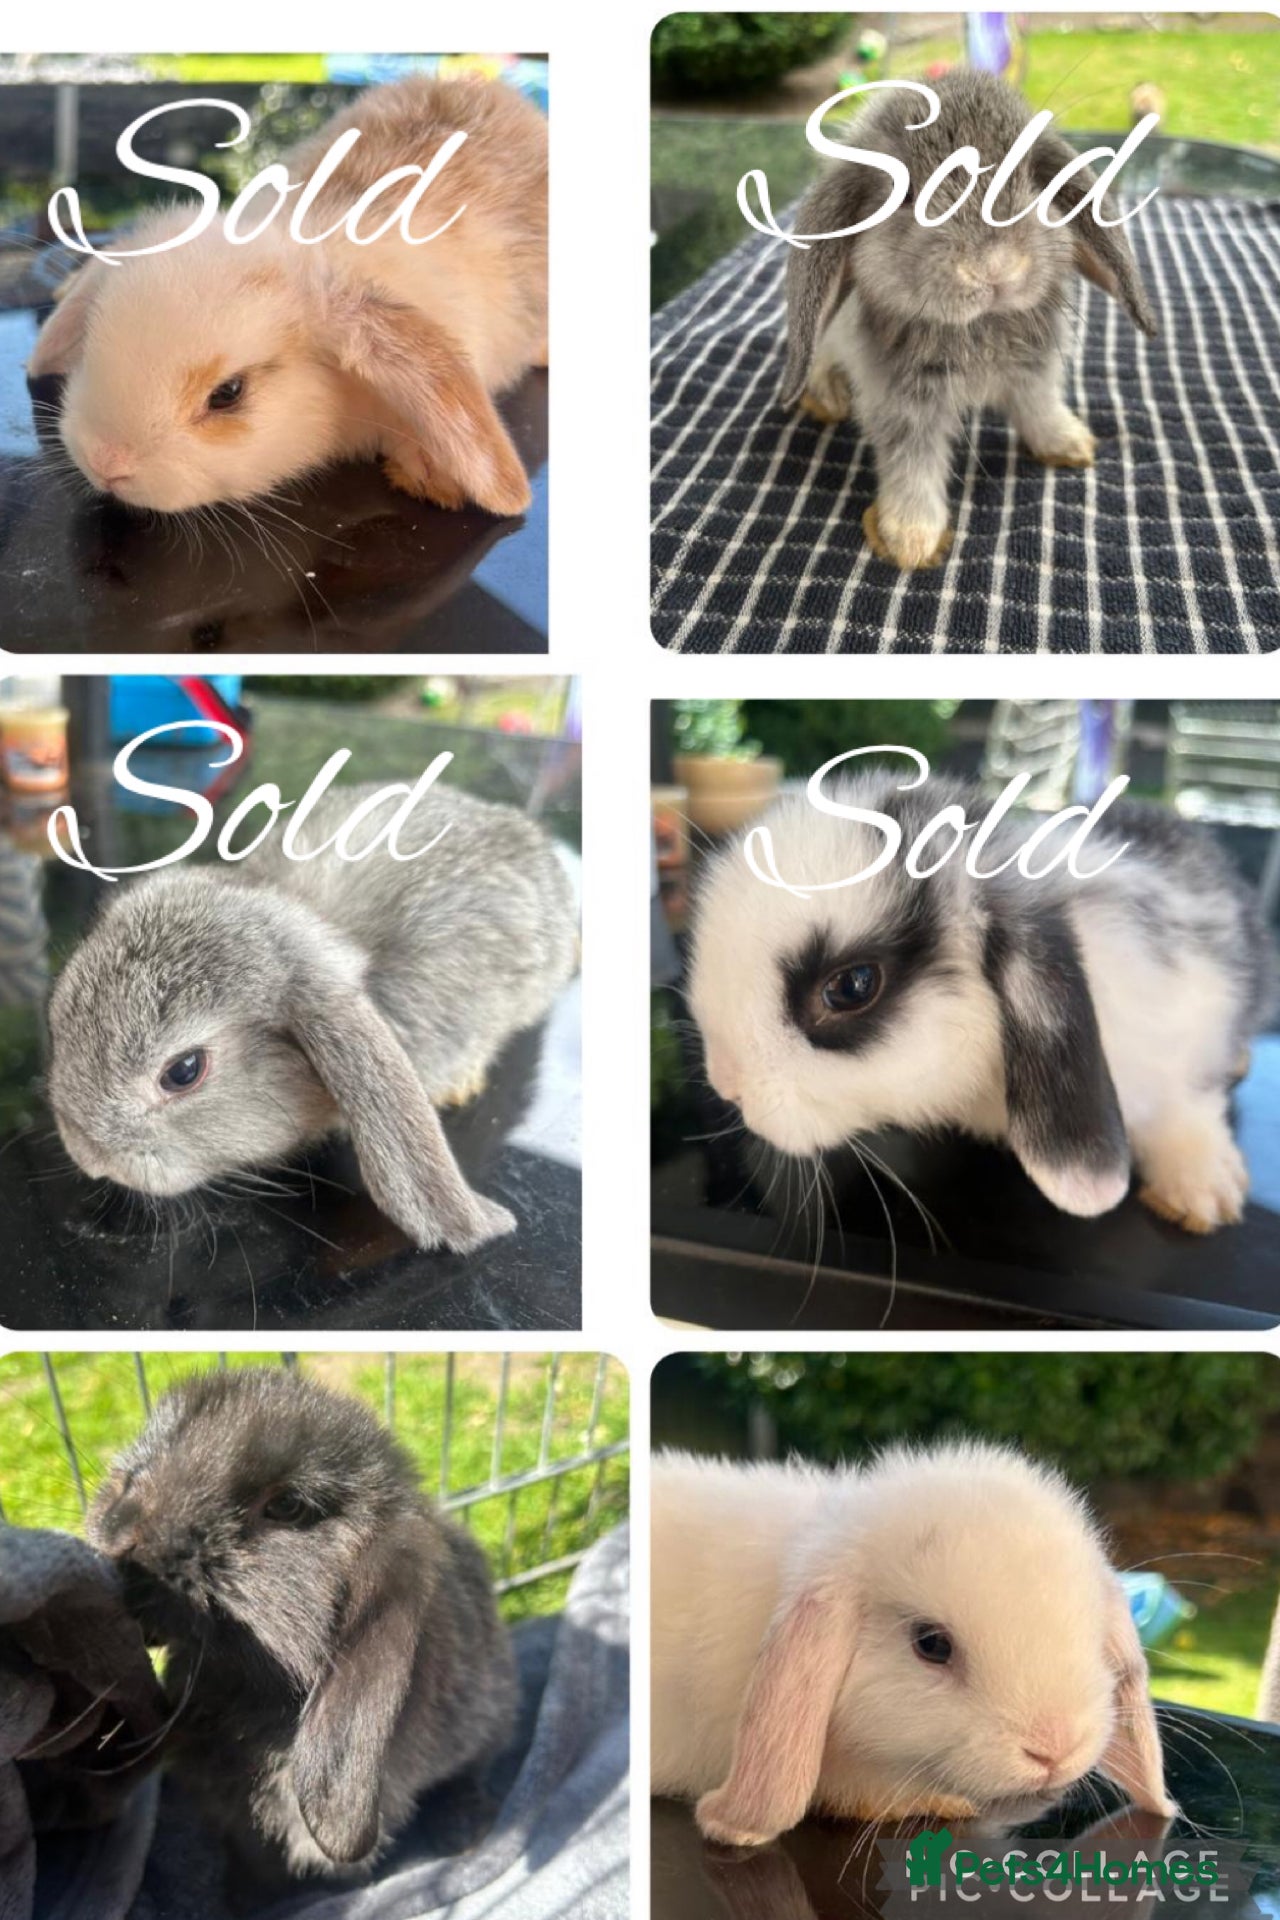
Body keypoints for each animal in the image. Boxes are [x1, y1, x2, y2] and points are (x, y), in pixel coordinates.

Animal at [780, 70, 1157, 570]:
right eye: (904, 193)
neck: (979, 328)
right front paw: (911, 539)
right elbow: (912, 467)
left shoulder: (1034, 375)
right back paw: (825, 395)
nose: (995, 266)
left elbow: (1040, 410)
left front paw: (1069, 444)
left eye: (1030, 177)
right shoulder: (904, 407)